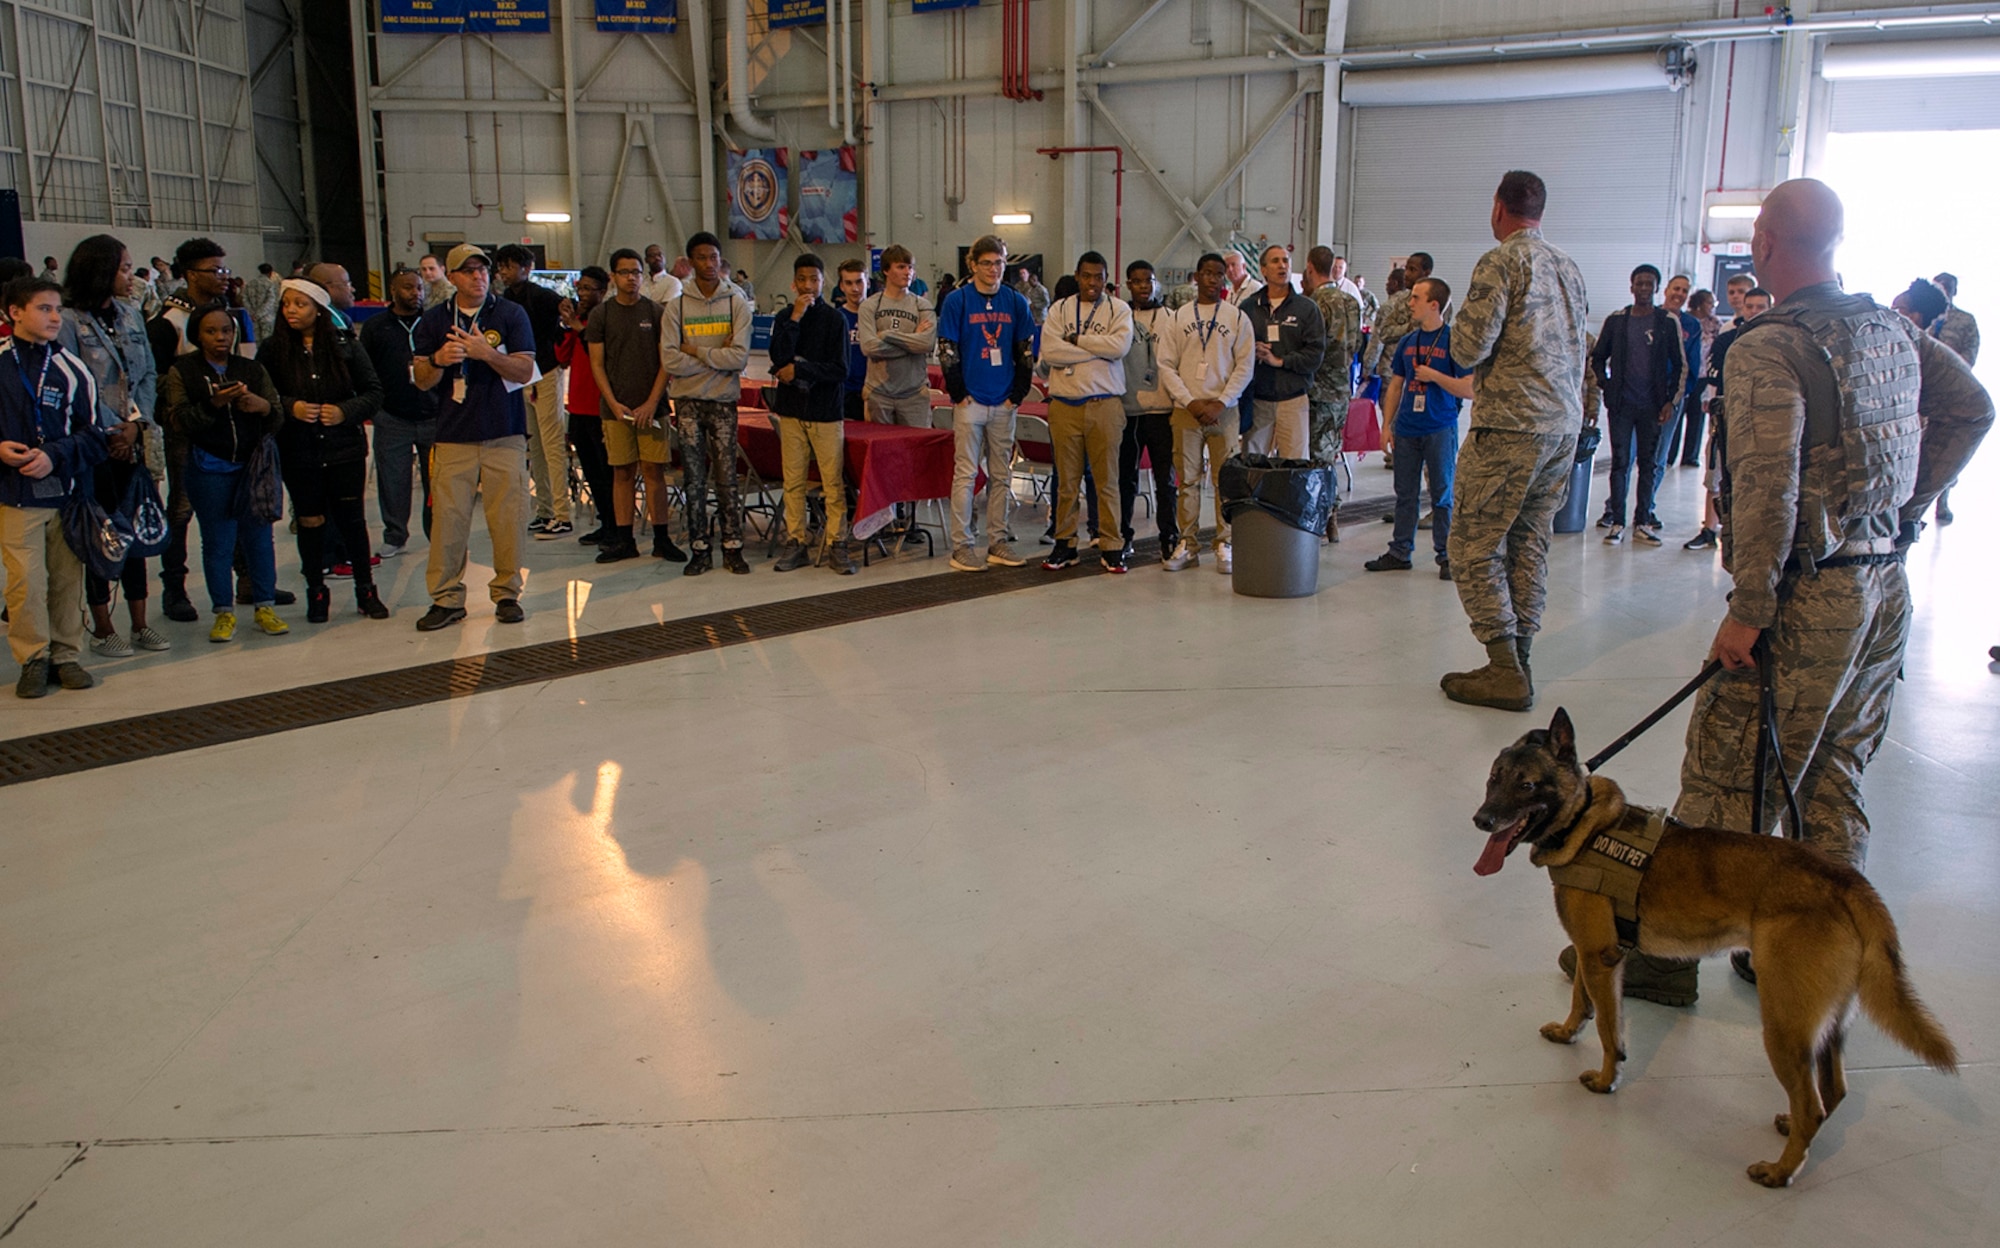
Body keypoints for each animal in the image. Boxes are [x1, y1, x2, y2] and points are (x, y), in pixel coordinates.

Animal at [1472, 708, 1952, 1184]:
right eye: (1494, 778)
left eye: (1527, 785)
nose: (1482, 820)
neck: (1584, 825)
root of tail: (1846, 879)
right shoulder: (1593, 955)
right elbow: (1581, 999)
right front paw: (1569, 1031)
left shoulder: (1600, 959)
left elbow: (1610, 1030)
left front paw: (1608, 1079)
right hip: (1824, 1025)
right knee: (1833, 1091)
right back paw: (1792, 1133)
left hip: (1783, 1025)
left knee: (1812, 1105)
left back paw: (1781, 1170)